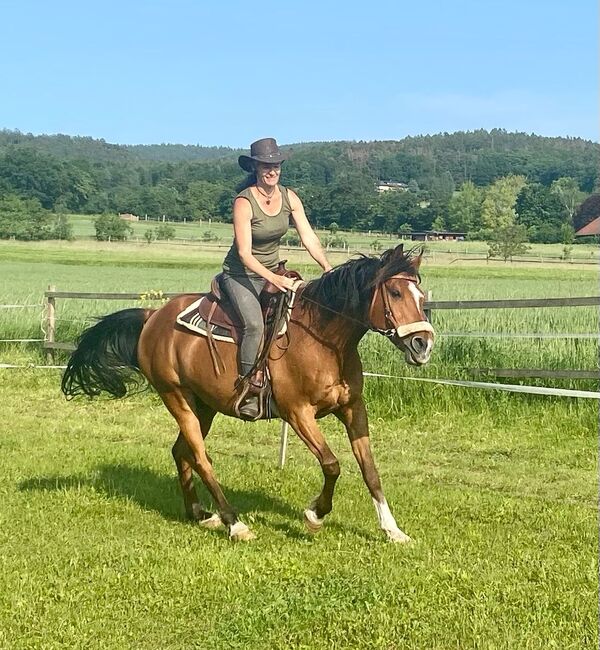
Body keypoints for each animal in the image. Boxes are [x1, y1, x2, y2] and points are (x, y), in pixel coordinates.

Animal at [63, 246, 434, 540]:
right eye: (395, 294)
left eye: (422, 297)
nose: (423, 344)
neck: (324, 338)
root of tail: (153, 316)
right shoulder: (298, 413)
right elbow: (332, 464)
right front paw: (314, 515)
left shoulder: (353, 409)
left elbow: (370, 470)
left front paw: (392, 530)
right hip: (176, 398)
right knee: (200, 457)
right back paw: (234, 523)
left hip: (204, 406)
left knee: (181, 451)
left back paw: (200, 513)